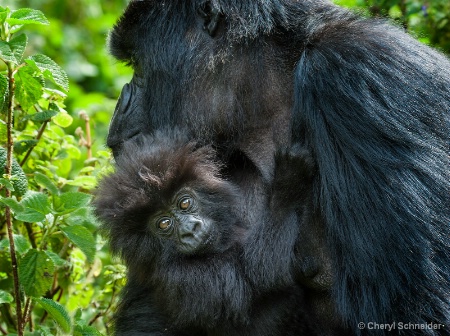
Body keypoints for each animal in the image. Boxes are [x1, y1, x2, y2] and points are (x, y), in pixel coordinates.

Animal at [94, 131, 334, 336]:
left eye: (184, 203)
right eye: (163, 224)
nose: (189, 230)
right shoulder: (179, 277)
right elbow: (257, 274)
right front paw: (288, 182)